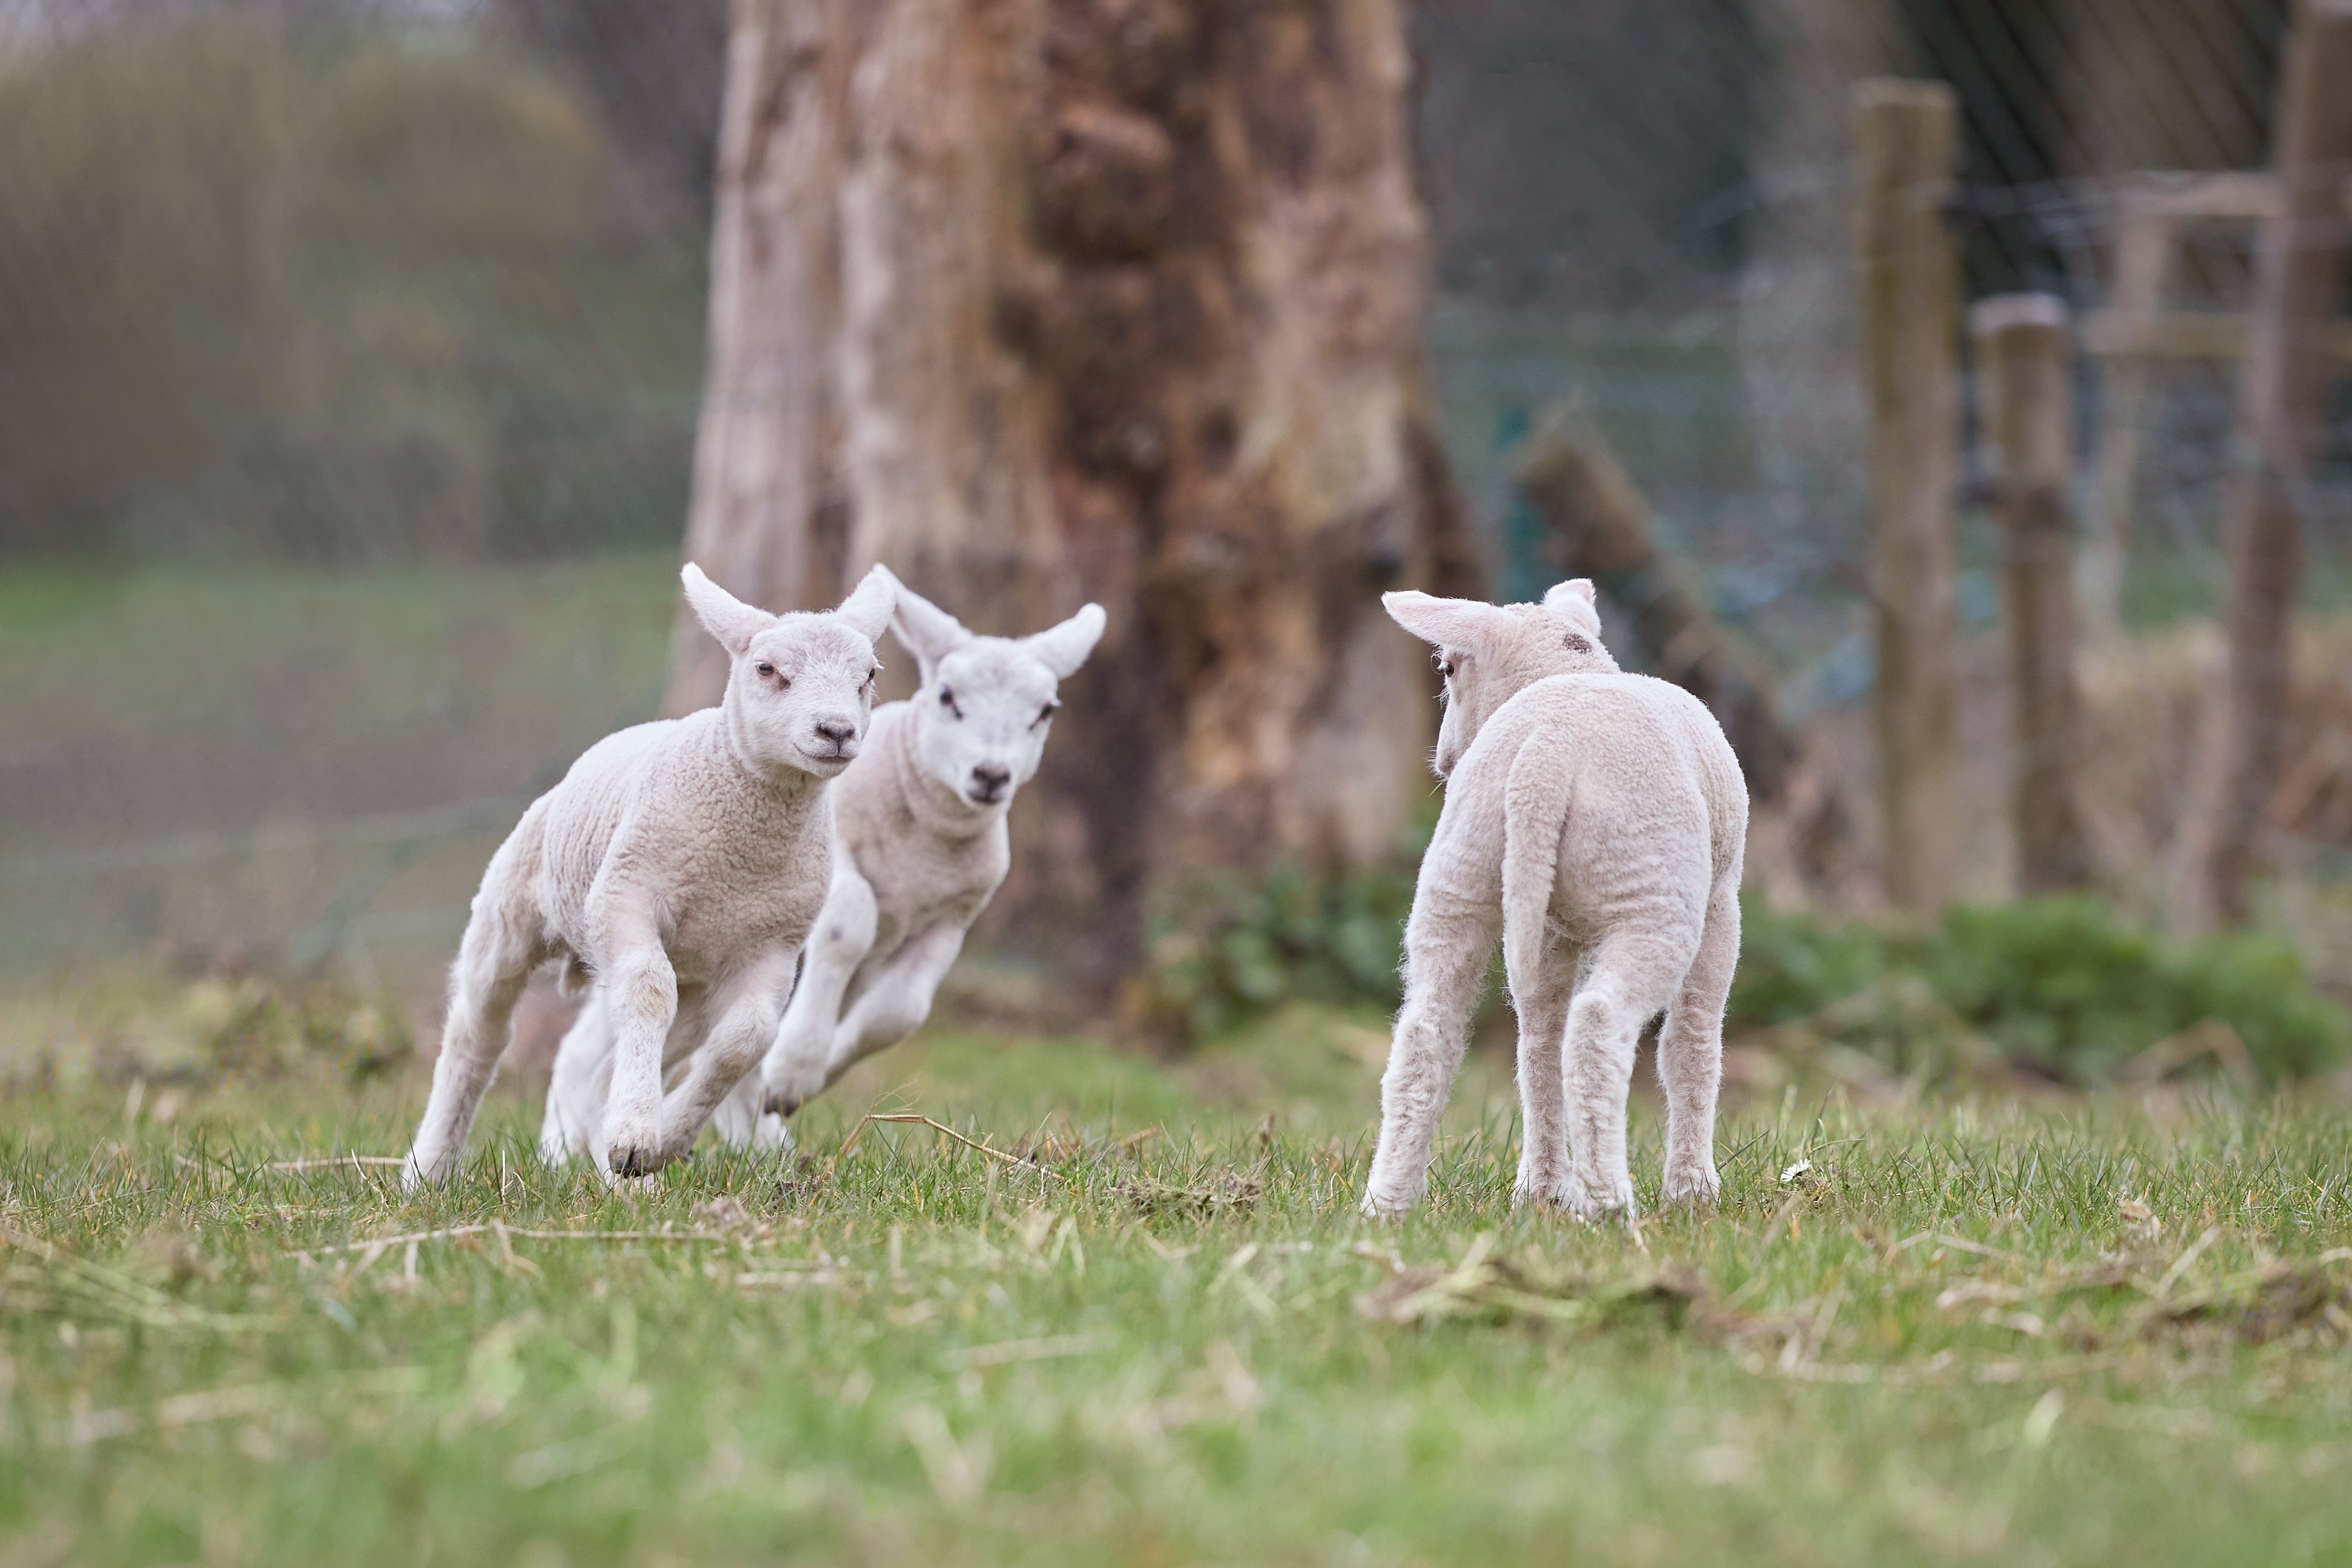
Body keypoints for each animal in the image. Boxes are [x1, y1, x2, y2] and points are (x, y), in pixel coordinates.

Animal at [404, 562, 895, 1187]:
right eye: (766, 669)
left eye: (869, 675)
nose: (836, 731)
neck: (742, 853)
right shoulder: (625, 897)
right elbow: (647, 987)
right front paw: (639, 1133)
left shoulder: (774, 943)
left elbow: (748, 1038)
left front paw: (660, 1140)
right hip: (510, 912)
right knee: (479, 1034)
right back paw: (428, 1169)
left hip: (699, 981)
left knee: (613, 1065)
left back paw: (621, 1170)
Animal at [1362, 578, 1748, 1218]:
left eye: (1447, 668)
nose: (1443, 760)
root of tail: (1545, 756)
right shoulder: (1722, 902)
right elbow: (1693, 1043)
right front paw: (1694, 1191)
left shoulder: (1546, 926)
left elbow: (1538, 1043)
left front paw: (1542, 1188)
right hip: (1653, 888)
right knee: (1597, 1028)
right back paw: (1610, 1203)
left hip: (1459, 869)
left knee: (1427, 1032)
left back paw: (1387, 1203)